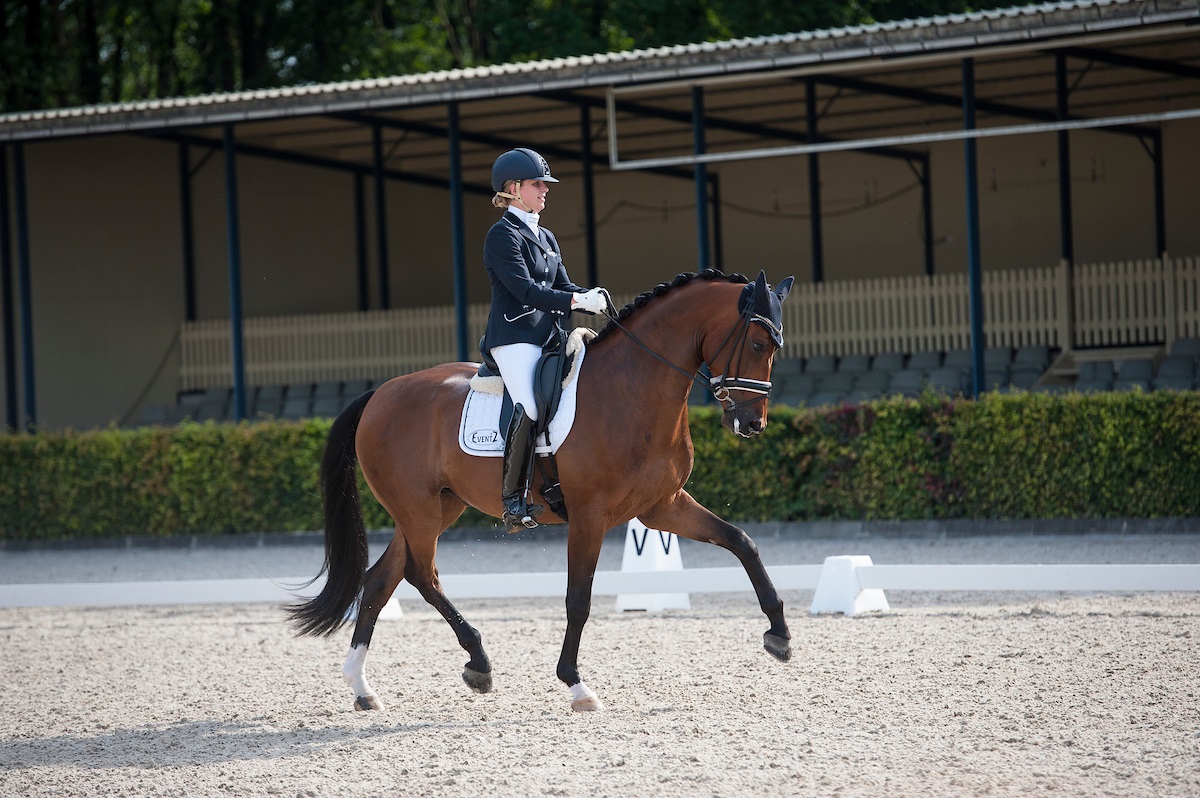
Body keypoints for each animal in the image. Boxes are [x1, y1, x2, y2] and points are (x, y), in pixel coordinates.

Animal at [289, 268, 796, 713]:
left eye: (775, 346)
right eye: (757, 343)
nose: (752, 424)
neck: (632, 389)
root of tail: (379, 393)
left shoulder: (661, 507)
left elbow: (741, 542)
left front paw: (780, 635)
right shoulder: (590, 517)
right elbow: (578, 599)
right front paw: (576, 685)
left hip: (434, 509)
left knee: (381, 579)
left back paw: (363, 687)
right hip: (419, 512)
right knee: (421, 575)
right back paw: (478, 662)